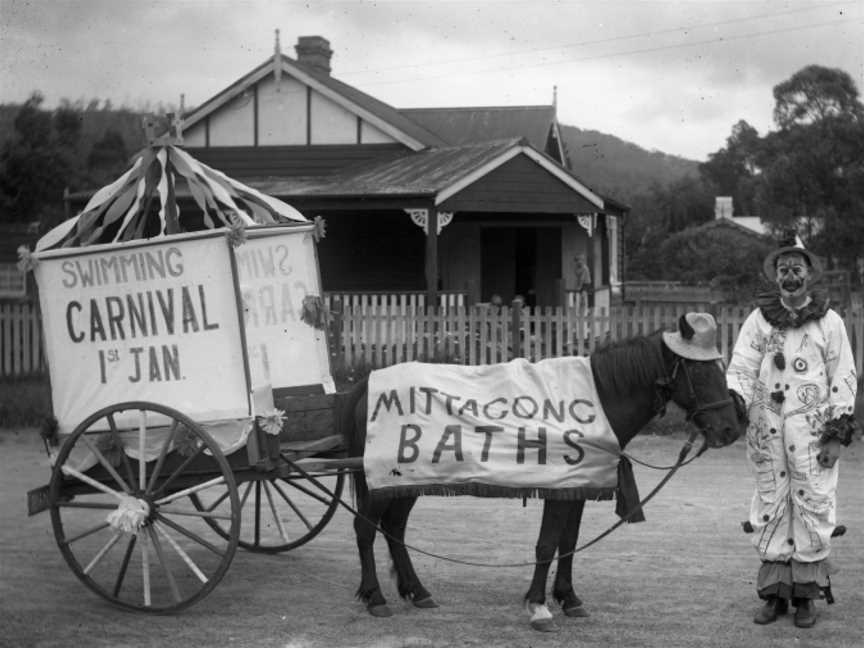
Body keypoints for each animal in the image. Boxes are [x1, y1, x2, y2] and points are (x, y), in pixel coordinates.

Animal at [344, 316, 744, 632]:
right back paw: (375, 597)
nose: (730, 429)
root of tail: (366, 384)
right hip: (383, 482)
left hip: (405, 482)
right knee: (366, 528)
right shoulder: (558, 487)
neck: (600, 396)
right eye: (697, 370)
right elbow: (547, 543)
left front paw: (568, 598)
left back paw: (418, 592)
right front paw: (538, 606)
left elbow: (569, 543)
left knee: (394, 528)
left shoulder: (577, 487)